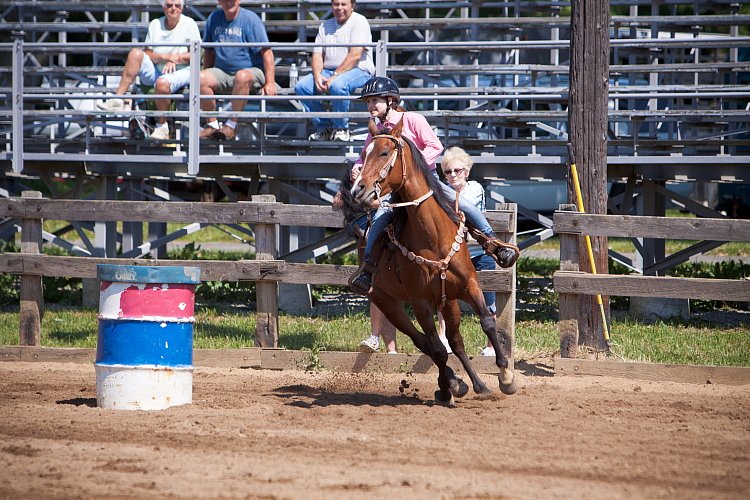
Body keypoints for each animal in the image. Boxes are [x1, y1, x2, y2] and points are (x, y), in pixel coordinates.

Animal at [348, 118, 516, 406]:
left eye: (383, 153)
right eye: (365, 153)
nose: (358, 190)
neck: (433, 237)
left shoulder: (469, 286)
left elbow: (487, 322)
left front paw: (505, 376)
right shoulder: (421, 302)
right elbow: (437, 349)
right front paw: (449, 388)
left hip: (448, 302)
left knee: (454, 341)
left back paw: (478, 384)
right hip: (387, 302)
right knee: (425, 342)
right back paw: (452, 384)